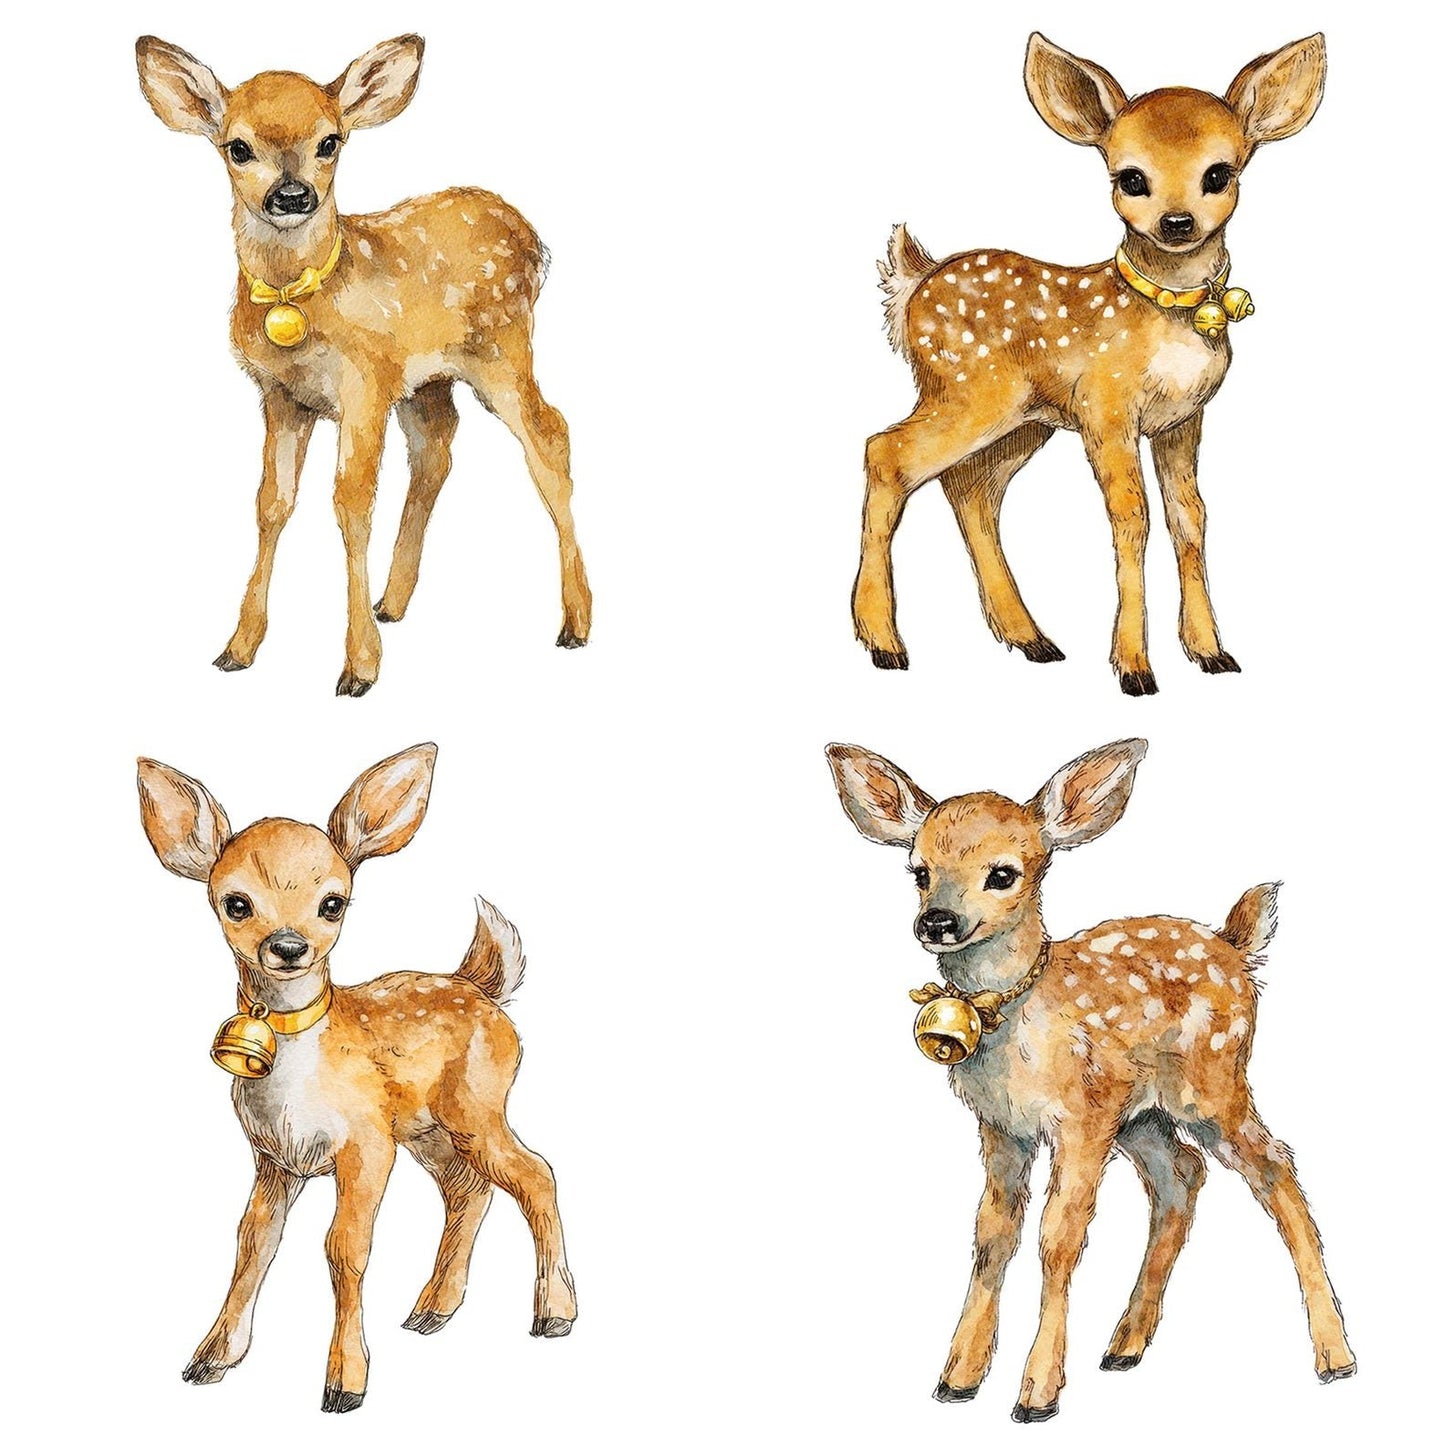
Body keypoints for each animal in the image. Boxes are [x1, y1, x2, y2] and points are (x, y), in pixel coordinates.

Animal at [135, 36, 592, 697]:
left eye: (331, 141)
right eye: (237, 146)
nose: (292, 196)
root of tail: (534, 240)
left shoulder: (364, 384)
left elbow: (350, 502)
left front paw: (359, 667)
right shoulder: (281, 395)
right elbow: (271, 503)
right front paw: (238, 647)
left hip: (502, 348)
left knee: (549, 434)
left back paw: (576, 621)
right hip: (428, 378)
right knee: (437, 448)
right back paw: (393, 602)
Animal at [136, 743, 576, 1412]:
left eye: (332, 902)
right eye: (236, 902)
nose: (288, 945)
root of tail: (483, 985)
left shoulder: (365, 1143)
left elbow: (344, 1247)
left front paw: (345, 1382)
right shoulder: (275, 1158)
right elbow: (252, 1244)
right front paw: (211, 1358)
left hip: (476, 1106)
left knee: (535, 1173)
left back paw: (553, 1313)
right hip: (425, 1129)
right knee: (469, 1187)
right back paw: (432, 1310)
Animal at [825, 738, 1353, 1422]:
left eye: (1003, 873)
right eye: (918, 871)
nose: (936, 921)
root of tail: (1236, 948)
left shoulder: (1078, 1116)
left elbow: (1059, 1235)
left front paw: (1037, 1393)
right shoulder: (1003, 1127)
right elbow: (992, 1233)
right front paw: (958, 1377)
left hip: (1213, 1085)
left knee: (1275, 1167)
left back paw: (1334, 1356)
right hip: (1140, 1115)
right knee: (1182, 1175)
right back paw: (1125, 1345)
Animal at [854, 34, 1326, 694]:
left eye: (1218, 173)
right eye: (1130, 177)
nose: (1176, 222)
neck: (1164, 313)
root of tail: (913, 284)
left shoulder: (1183, 419)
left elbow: (1190, 518)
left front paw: (1211, 653)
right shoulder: (1108, 406)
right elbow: (1132, 517)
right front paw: (1134, 669)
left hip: (1024, 420)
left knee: (971, 489)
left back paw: (1030, 639)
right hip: (968, 391)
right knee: (887, 453)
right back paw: (884, 643)